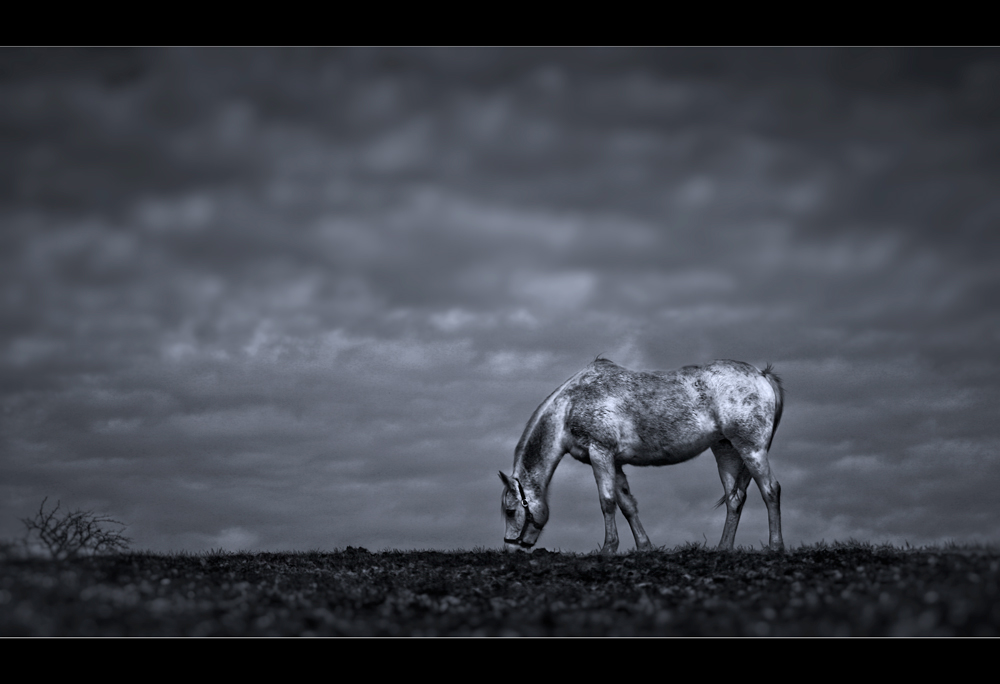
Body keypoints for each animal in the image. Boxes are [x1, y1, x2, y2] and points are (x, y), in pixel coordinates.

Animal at [498, 358, 780, 556]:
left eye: (510, 512)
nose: (511, 550)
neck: (570, 406)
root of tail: (762, 375)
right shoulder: (615, 462)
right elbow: (627, 505)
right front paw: (644, 546)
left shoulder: (600, 453)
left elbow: (607, 501)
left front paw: (608, 548)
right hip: (726, 450)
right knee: (735, 499)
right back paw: (724, 547)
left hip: (751, 448)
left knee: (770, 490)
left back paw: (775, 546)